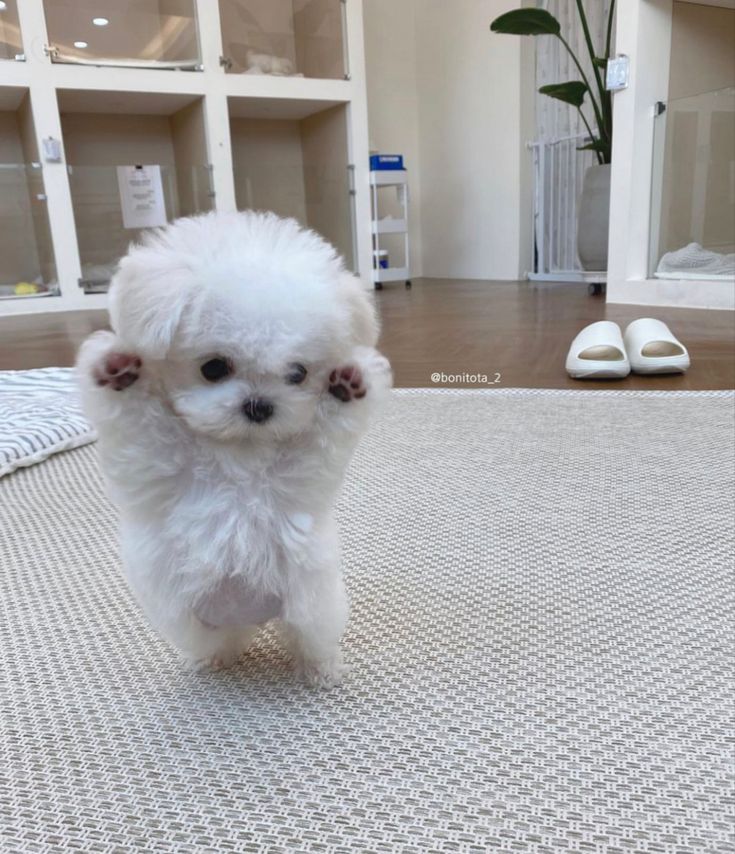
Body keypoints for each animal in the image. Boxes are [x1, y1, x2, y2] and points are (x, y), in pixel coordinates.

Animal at [76, 212, 392, 688]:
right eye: (214, 367)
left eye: (298, 373)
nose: (259, 406)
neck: (236, 456)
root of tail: (248, 620)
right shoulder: (153, 458)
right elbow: (139, 420)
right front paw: (117, 372)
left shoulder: (299, 475)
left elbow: (321, 436)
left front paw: (348, 385)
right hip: (190, 621)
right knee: (214, 643)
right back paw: (213, 661)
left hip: (312, 607)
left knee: (309, 639)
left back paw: (321, 670)